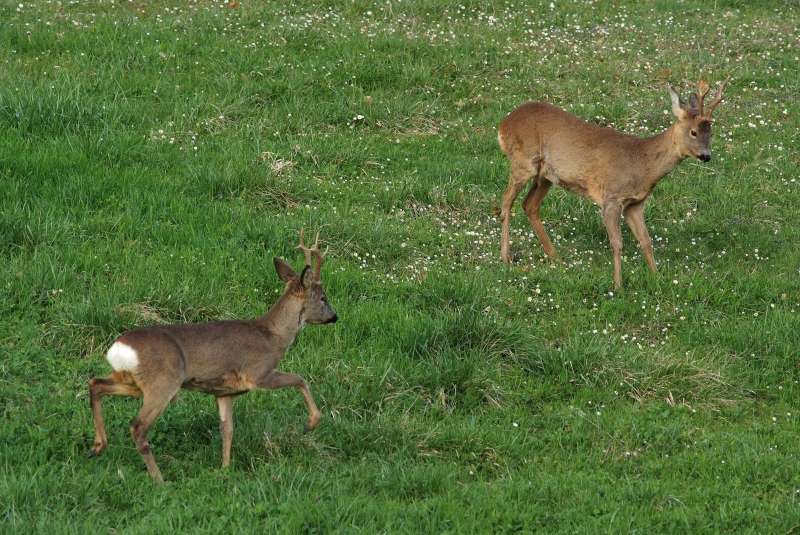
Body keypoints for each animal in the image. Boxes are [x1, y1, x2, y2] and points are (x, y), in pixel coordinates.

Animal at [86, 230, 336, 482]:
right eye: (323, 297)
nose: (335, 317)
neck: (273, 336)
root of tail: (119, 347)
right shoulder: (258, 373)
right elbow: (300, 379)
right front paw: (312, 423)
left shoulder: (224, 392)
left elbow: (227, 429)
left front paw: (224, 468)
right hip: (163, 382)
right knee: (138, 426)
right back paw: (159, 479)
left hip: (132, 381)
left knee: (96, 383)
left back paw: (98, 446)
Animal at [496, 78, 728, 288]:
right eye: (693, 132)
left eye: (711, 132)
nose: (706, 156)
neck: (643, 164)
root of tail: (503, 124)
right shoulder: (611, 198)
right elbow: (617, 243)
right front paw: (618, 284)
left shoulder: (635, 204)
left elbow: (646, 241)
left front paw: (656, 277)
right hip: (523, 161)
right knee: (506, 202)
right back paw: (506, 257)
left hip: (545, 175)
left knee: (529, 205)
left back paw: (555, 257)